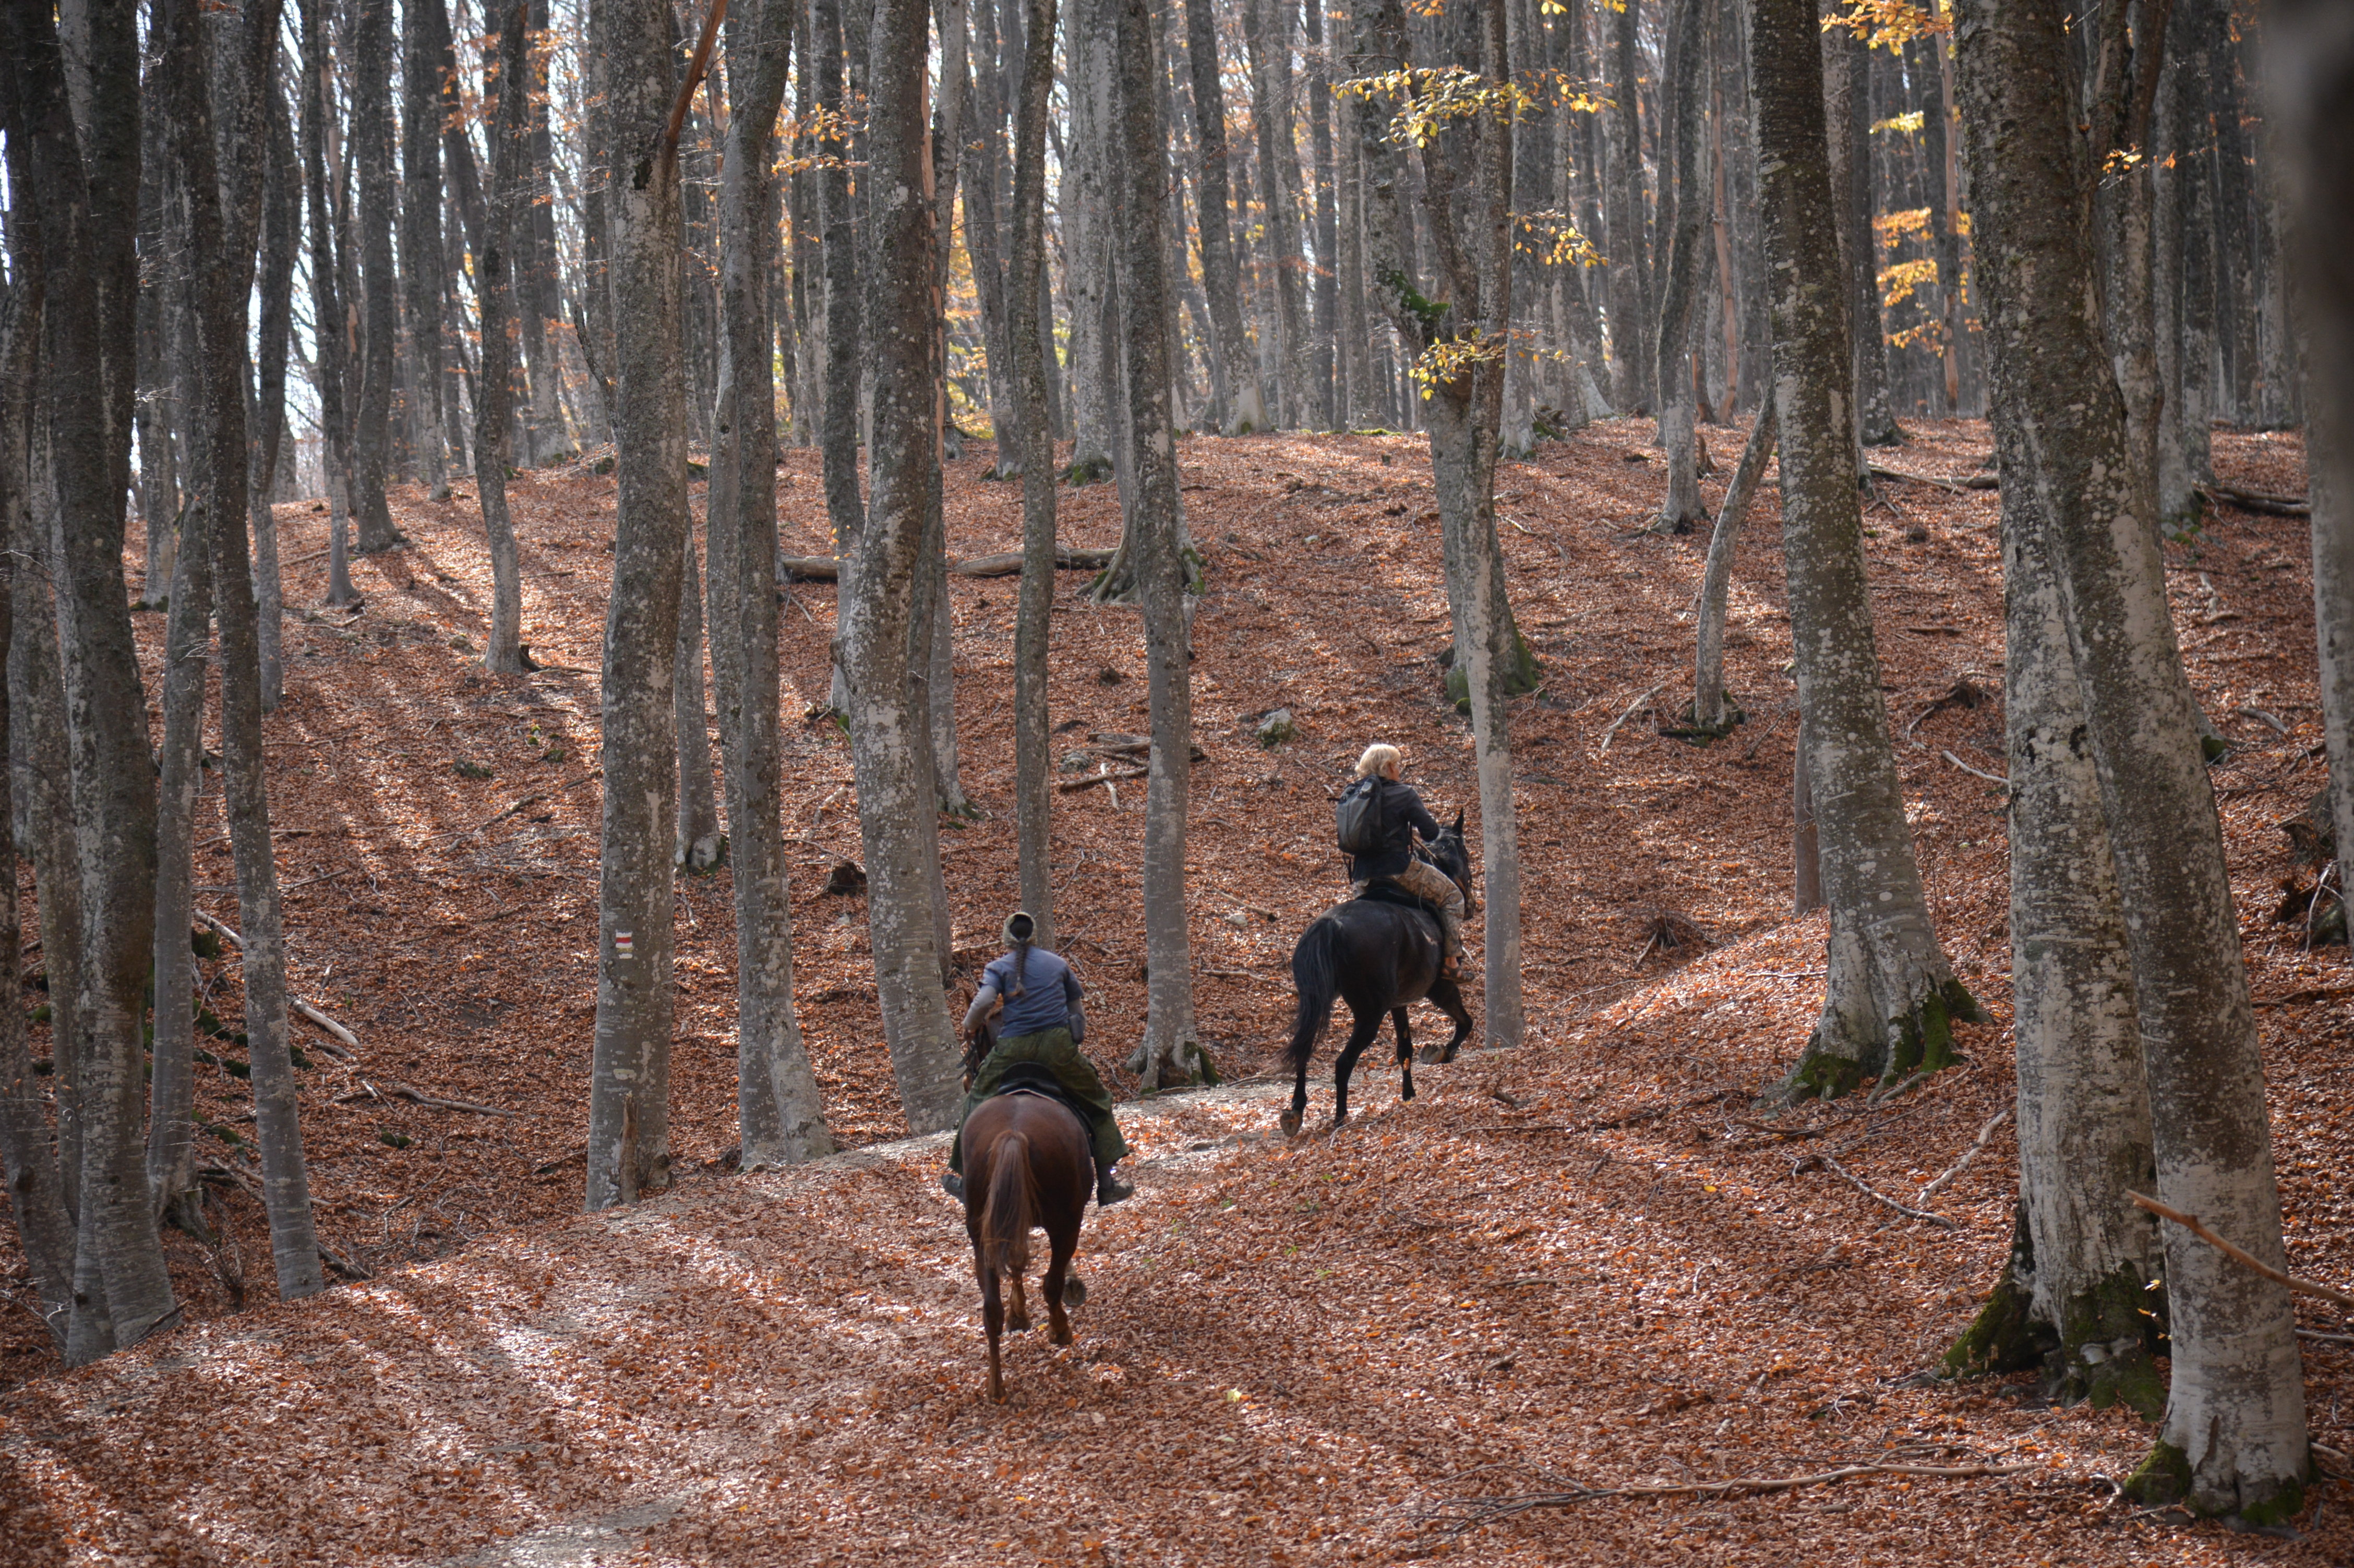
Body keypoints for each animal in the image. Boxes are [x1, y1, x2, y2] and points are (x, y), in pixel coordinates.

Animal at [965, 1083, 1092, 1394]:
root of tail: (1013, 1133)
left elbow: (1016, 1262)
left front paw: (1018, 1314)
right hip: (1066, 1224)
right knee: (1051, 1284)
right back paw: (1060, 1329)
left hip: (982, 1235)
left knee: (991, 1308)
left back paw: (995, 1387)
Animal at [1290, 805, 1469, 1135]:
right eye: (1464, 852)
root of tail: (1329, 925)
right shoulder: (1441, 989)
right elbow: (1465, 1024)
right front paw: (1443, 1054)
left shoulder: (1398, 1003)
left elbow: (1405, 1049)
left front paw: (1409, 1095)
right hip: (1370, 1014)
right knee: (1343, 1062)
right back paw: (1340, 1117)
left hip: (1319, 1002)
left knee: (1303, 1047)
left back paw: (1295, 1110)